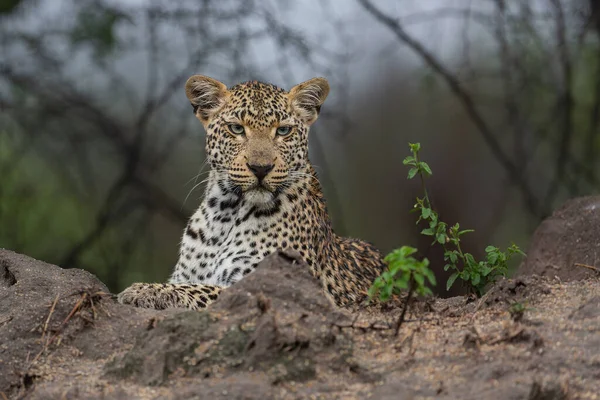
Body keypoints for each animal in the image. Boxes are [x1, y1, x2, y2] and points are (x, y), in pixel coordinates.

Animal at [118, 75, 384, 310]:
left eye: (283, 131)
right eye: (236, 128)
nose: (260, 168)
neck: (224, 214)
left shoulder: (279, 284)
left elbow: (202, 289)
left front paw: (144, 290)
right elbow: (192, 284)